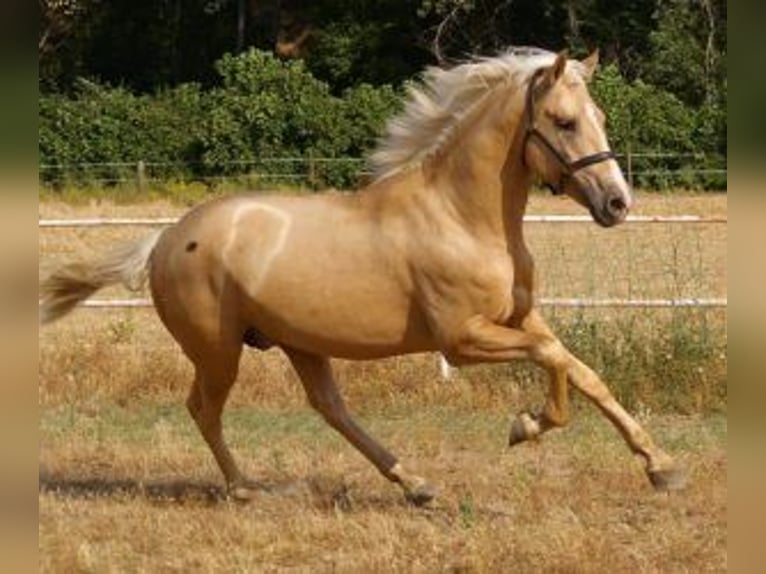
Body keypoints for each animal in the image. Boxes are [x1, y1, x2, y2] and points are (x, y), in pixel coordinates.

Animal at [40, 48, 686, 505]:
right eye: (563, 121)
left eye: (599, 116)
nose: (618, 203)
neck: (461, 216)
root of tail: (165, 240)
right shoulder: (462, 339)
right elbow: (554, 363)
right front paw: (525, 426)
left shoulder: (521, 318)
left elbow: (583, 372)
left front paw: (662, 467)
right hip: (219, 350)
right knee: (204, 408)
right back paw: (247, 489)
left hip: (300, 343)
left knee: (329, 407)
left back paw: (416, 485)